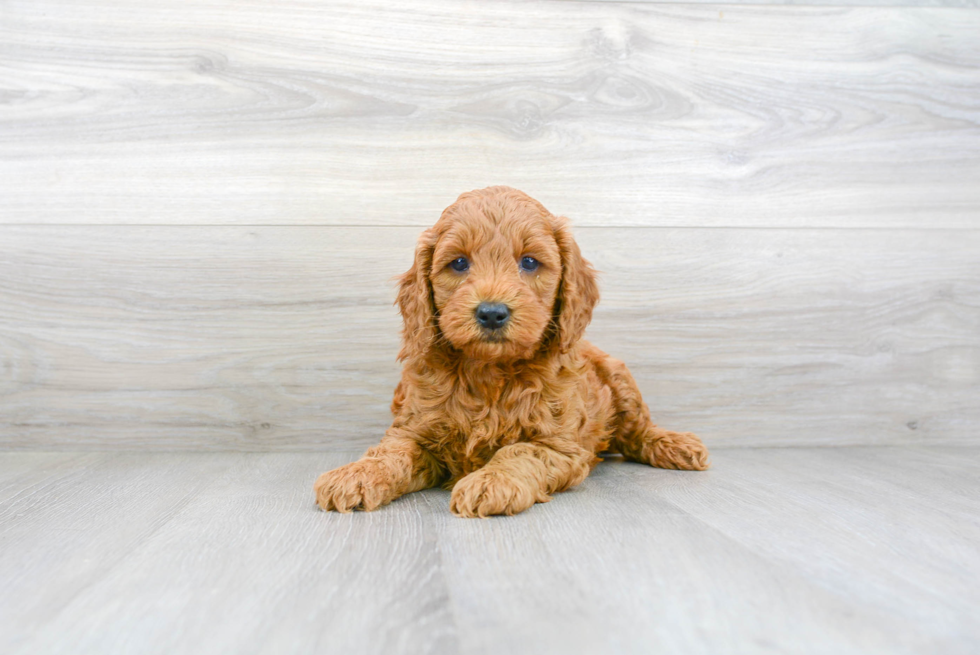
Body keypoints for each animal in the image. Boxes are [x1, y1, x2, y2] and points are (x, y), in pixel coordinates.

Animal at [318, 184, 708, 516]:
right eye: (459, 263)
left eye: (530, 262)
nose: (492, 312)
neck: (489, 372)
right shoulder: (413, 430)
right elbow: (390, 453)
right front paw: (355, 474)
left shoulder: (558, 445)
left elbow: (520, 451)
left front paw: (492, 481)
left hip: (619, 378)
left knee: (637, 431)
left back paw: (677, 445)